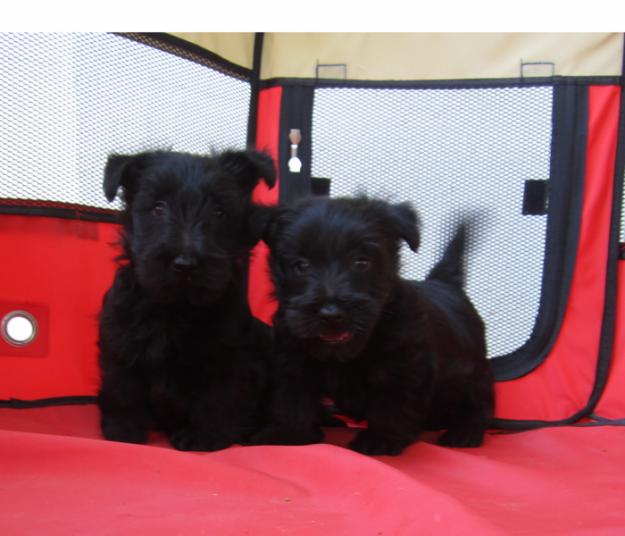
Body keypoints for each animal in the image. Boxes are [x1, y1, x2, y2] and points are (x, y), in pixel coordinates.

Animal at [97, 149, 272, 450]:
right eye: (158, 208)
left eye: (219, 212)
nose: (185, 264)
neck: (177, 307)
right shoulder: (121, 341)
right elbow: (123, 388)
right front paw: (123, 430)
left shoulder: (228, 357)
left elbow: (217, 399)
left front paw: (204, 437)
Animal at [252, 197, 492, 456]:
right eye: (301, 265)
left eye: (362, 262)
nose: (331, 314)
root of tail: (445, 283)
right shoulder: (294, 359)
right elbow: (292, 398)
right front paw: (289, 434)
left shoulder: (404, 367)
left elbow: (393, 404)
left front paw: (381, 439)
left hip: (472, 375)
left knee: (480, 403)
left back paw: (465, 431)